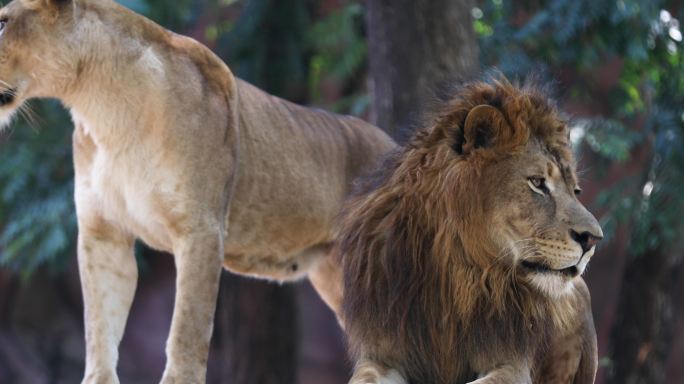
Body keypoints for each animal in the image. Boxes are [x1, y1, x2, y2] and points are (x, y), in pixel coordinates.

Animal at [0, 1, 392, 382]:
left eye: (2, 22)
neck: (101, 108)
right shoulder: (103, 233)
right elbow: (99, 328)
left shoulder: (200, 228)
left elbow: (187, 327)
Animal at [338, 79, 604, 384]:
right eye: (537, 183)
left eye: (576, 191)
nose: (594, 239)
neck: (455, 269)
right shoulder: (381, 355)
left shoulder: (511, 362)